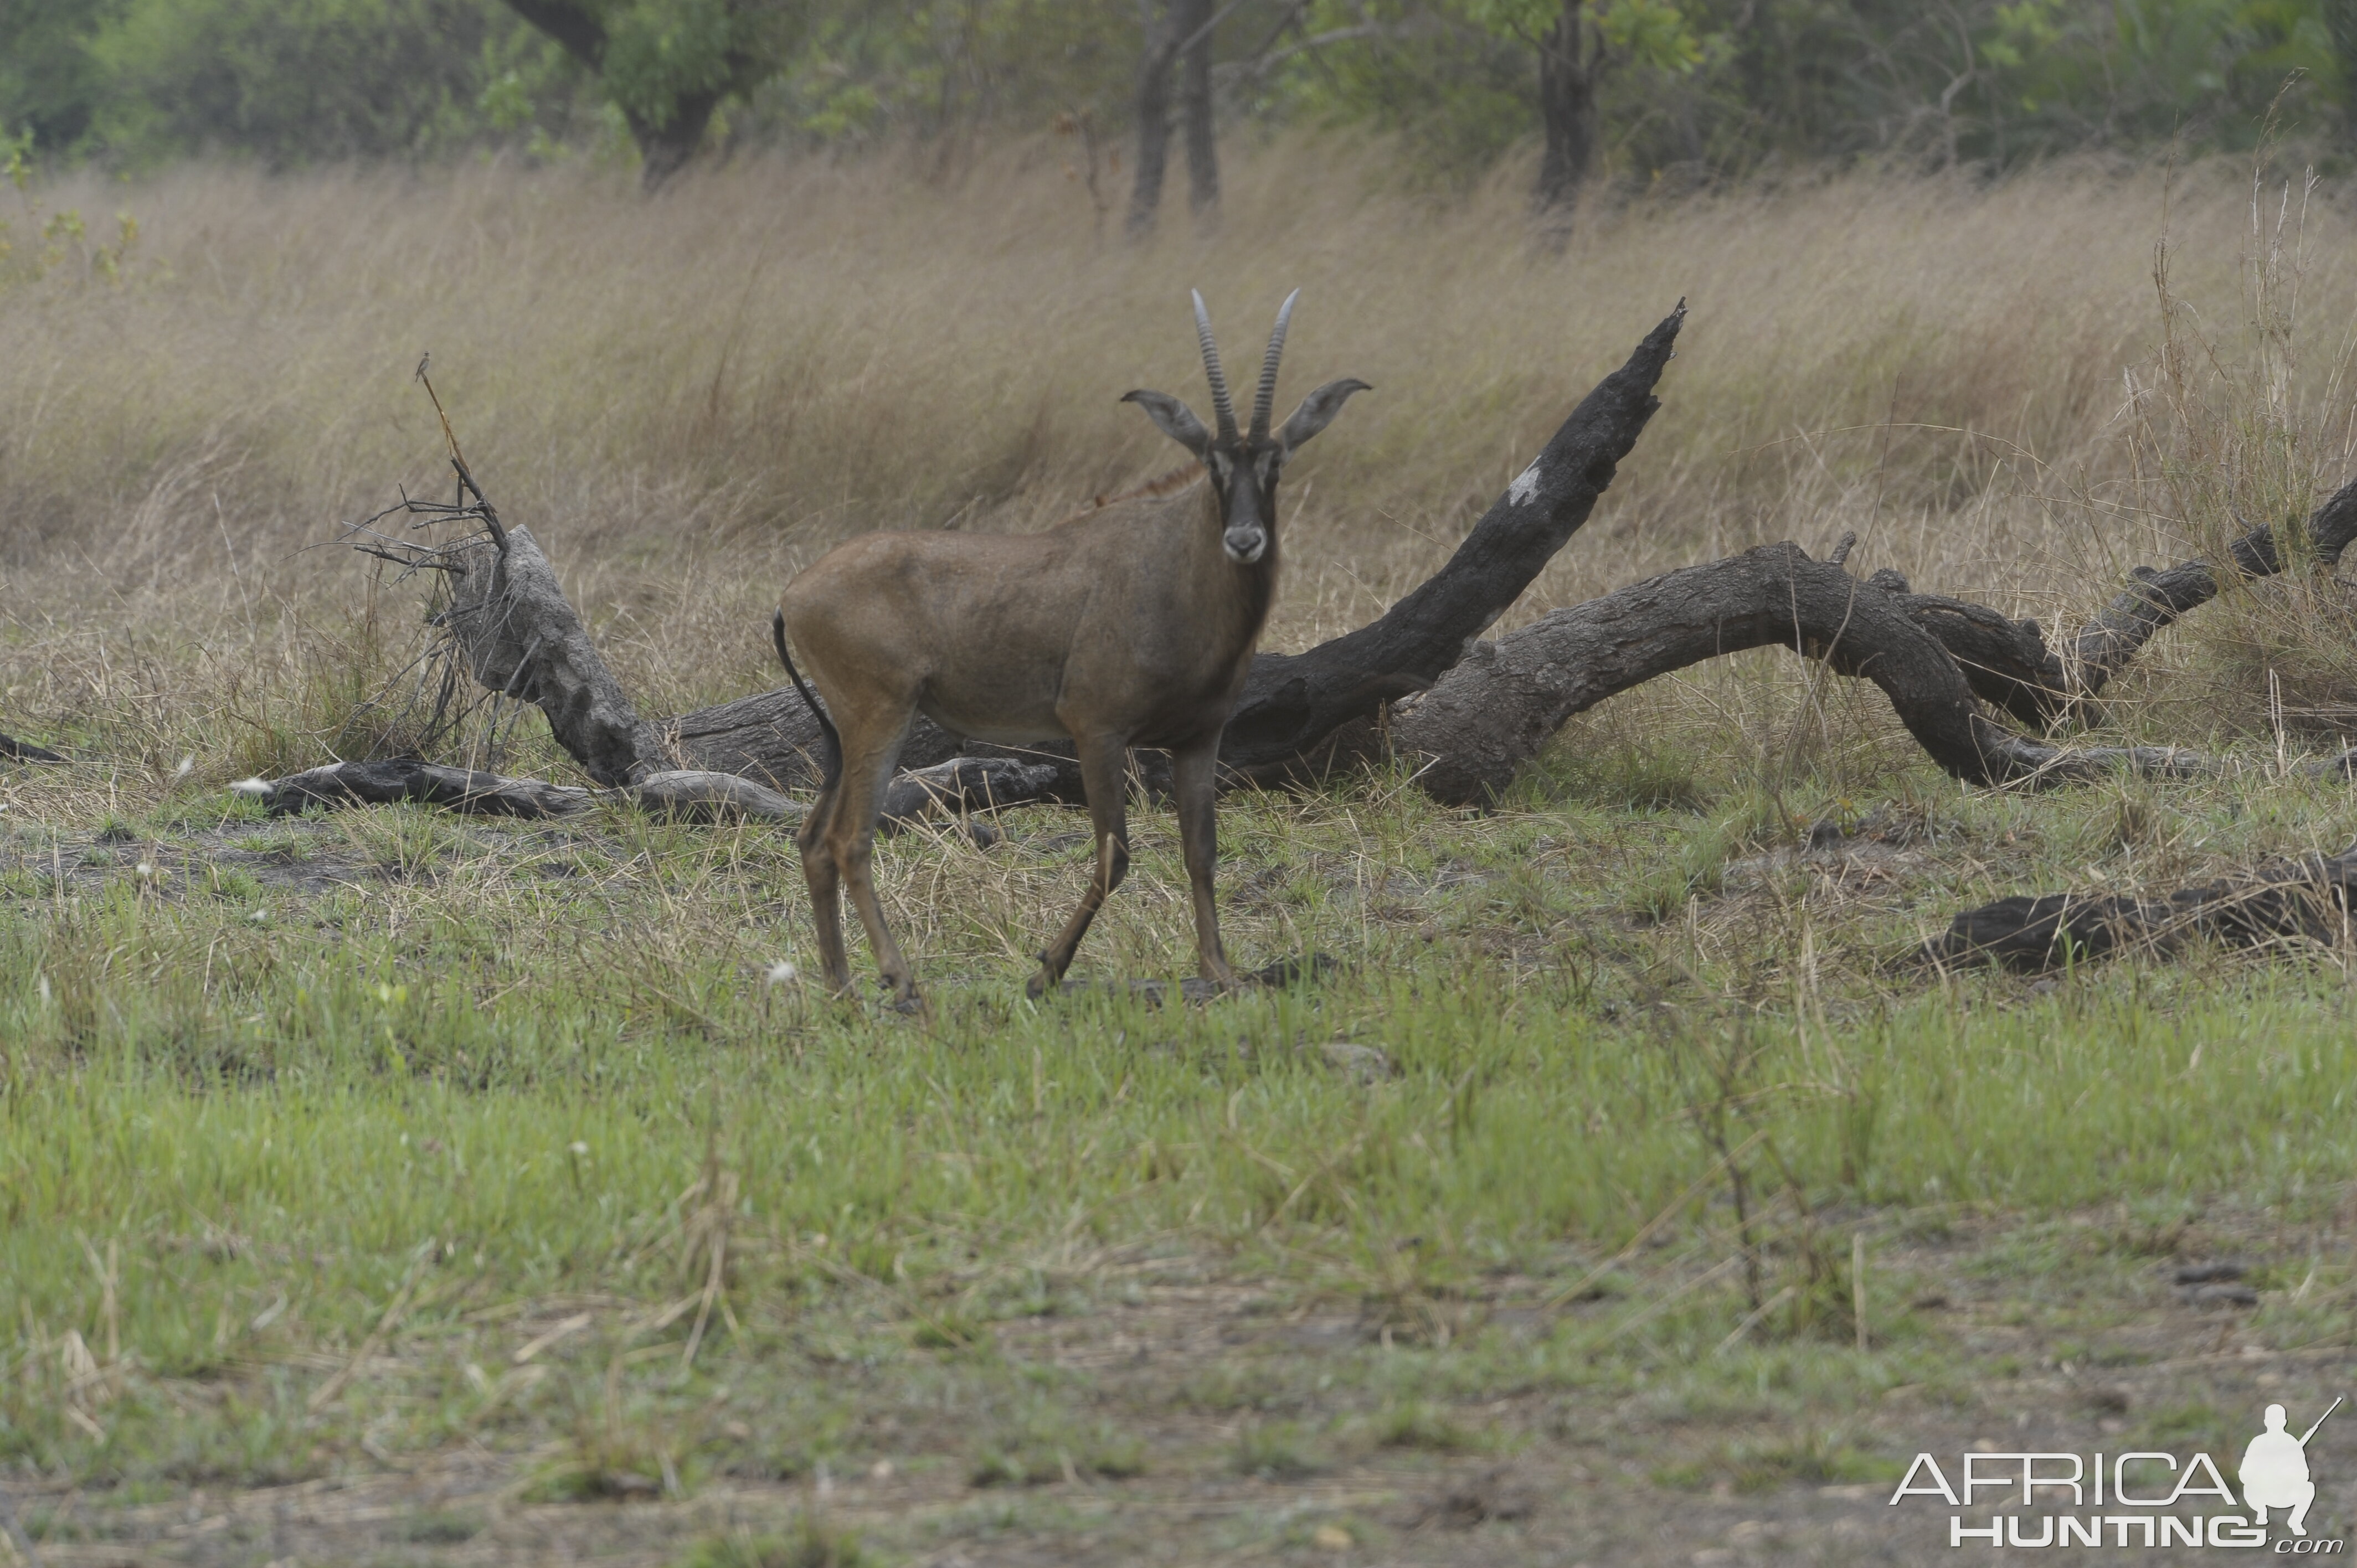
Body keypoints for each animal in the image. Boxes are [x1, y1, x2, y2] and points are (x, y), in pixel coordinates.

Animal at [768, 290, 1367, 1004]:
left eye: (1277, 463)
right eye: (1214, 463)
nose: (1245, 540)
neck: (1170, 563)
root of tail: (793, 594)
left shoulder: (1200, 739)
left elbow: (1201, 851)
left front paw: (1219, 970)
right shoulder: (1096, 730)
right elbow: (1115, 855)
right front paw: (1045, 970)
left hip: (846, 731)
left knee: (812, 840)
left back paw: (841, 986)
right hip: (879, 717)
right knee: (848, 839)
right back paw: (900, 979)